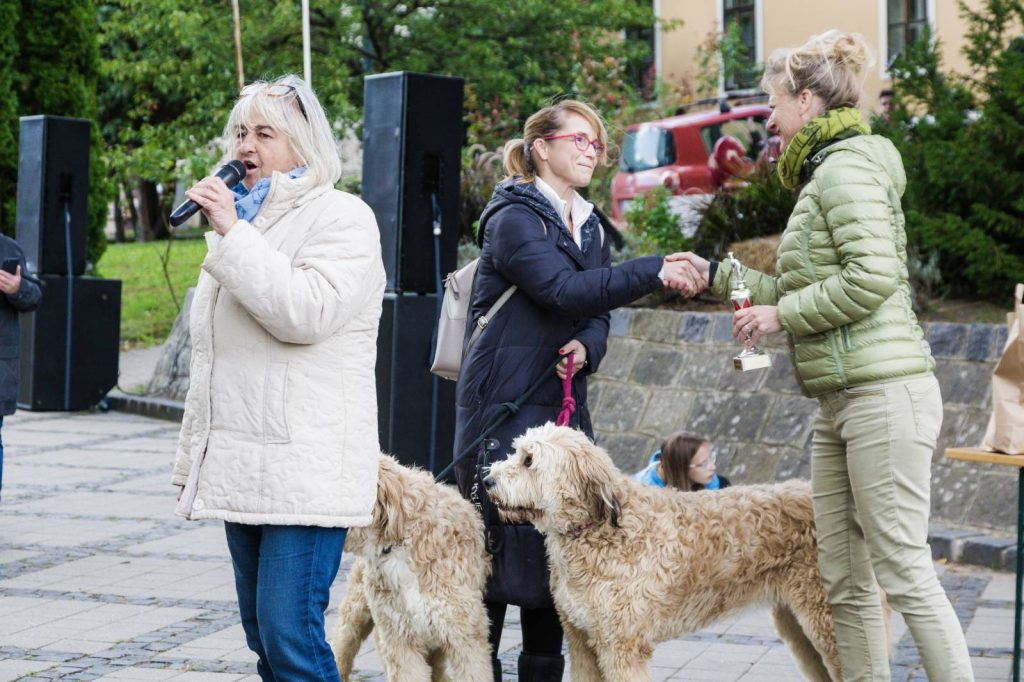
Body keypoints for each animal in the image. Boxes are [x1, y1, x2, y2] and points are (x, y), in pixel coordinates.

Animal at [484, 423, 844, 682]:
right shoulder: (581, 641)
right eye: (517, 452)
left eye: (529, 460)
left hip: (826, 624)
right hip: (798, 629)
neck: (596, 531)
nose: (486, 480)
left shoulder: (622, 647)